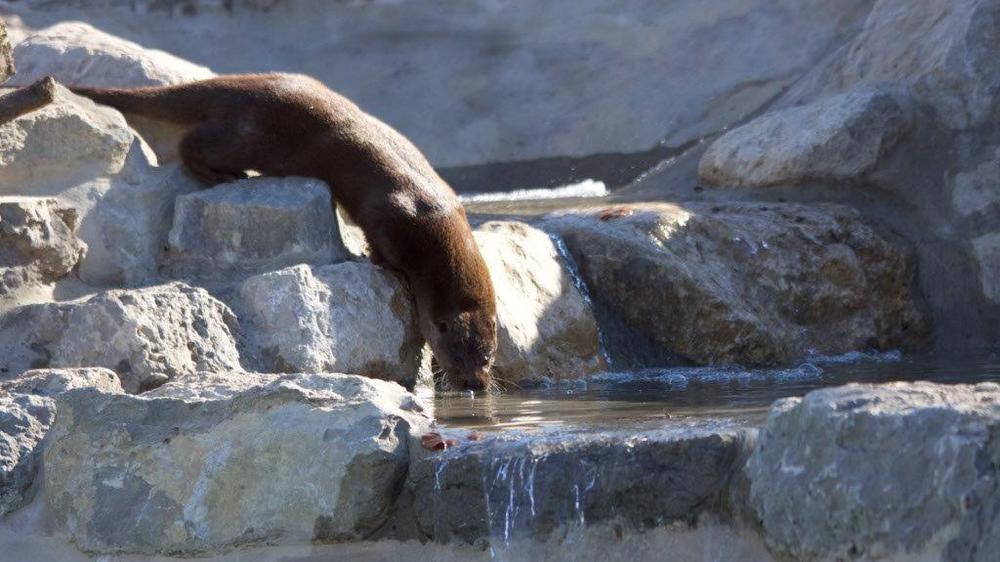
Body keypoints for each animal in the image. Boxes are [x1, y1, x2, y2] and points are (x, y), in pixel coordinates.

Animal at [73, 73, 496, 390]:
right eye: (457, 353)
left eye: (488, 354)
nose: (475, 383)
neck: (436, 218)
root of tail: (234, 86)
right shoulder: (391, 217)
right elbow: (380, 246)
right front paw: (376, 261)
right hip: (250, 134)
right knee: (191, 144)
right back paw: (228, 176)